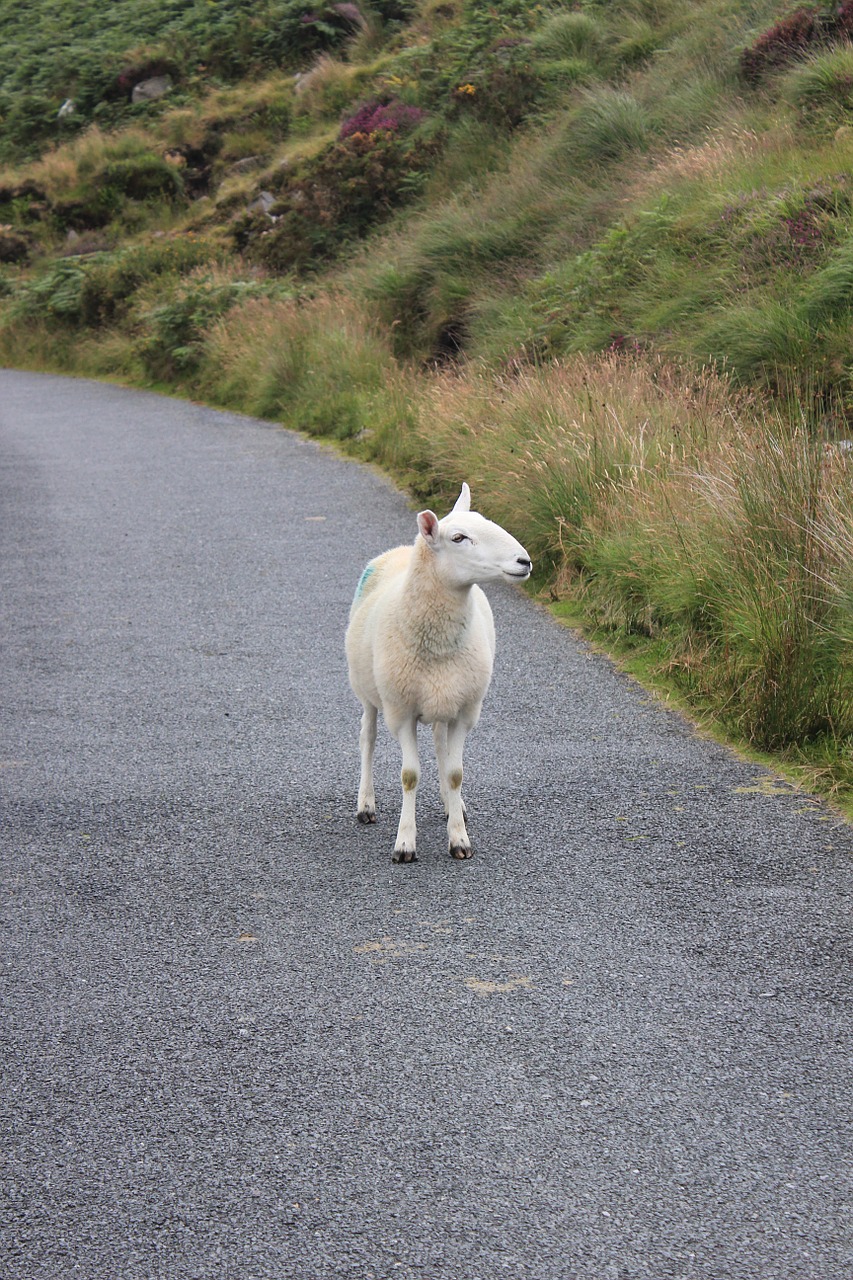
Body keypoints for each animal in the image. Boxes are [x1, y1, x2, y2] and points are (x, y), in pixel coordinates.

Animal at [343, 483, 527, 865]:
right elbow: (409, 776)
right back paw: (365, 804)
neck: (437, 643)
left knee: (441, 747)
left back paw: (449, 805)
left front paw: (459, 838)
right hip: (367, 691)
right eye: (458, 538)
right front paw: (404, 844)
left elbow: (455, 773)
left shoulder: (466, 710)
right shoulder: (401, 712)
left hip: (445, 698)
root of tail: (400, 549)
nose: (525, 561)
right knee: (367, 738)